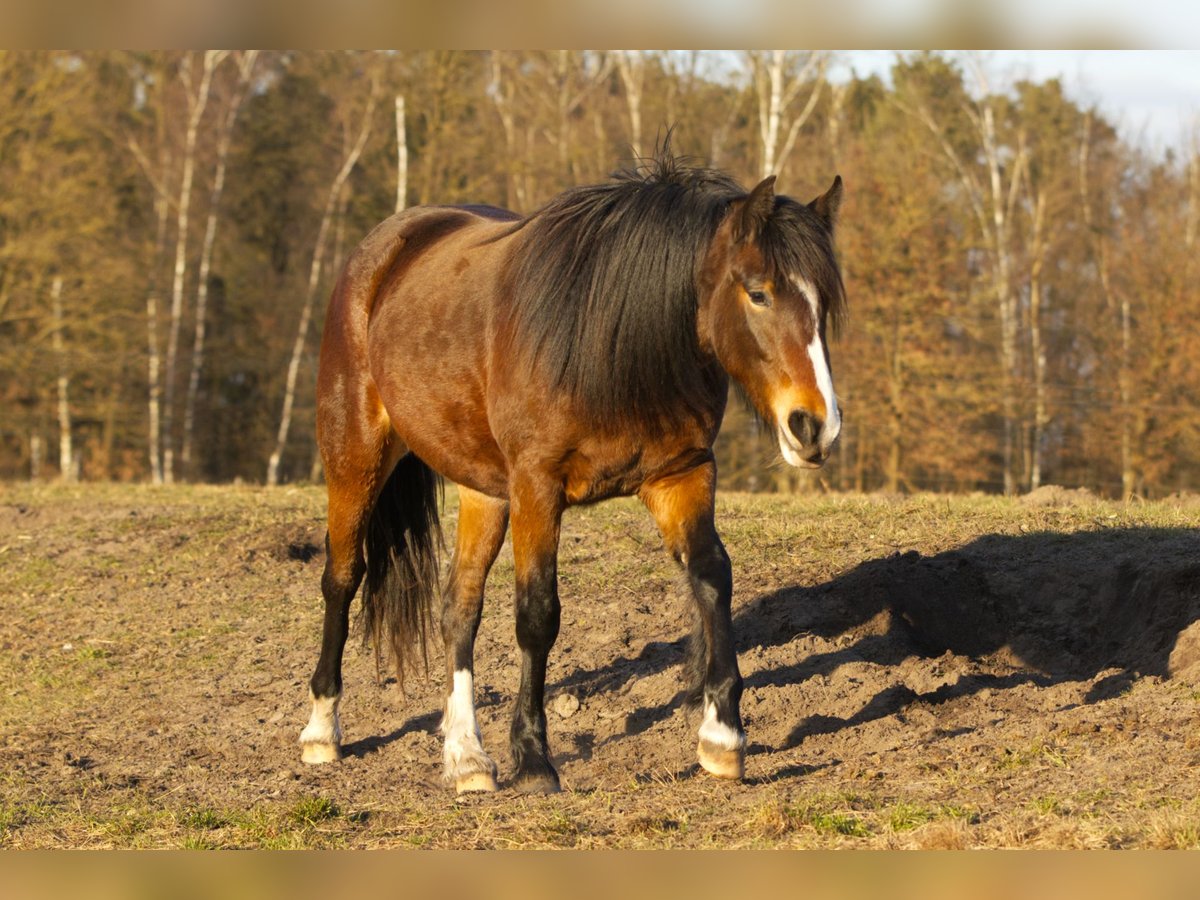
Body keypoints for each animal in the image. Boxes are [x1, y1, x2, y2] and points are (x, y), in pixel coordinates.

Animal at [297, 154, 844, 796]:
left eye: (823, 304)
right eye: (758, 293)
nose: (816, 426)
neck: (610, 343)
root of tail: (385, 248)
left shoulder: (681, 475)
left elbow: (712, 579)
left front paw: (723, 737)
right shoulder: (537, 486)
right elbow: (538, 614)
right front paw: (534, 759)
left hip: (484, 488)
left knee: (459, 604)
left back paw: (467, 756)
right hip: (356, 457)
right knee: (342, 578)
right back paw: (322, 731)